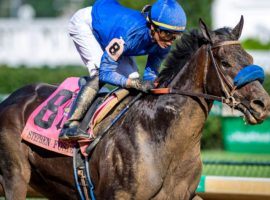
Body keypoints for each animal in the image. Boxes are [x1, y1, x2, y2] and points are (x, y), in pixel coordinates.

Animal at [0, 17, 270, 200]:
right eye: (224, 63)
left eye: (250, 59)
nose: (262, 104)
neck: (159, 132)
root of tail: (9, 100)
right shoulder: (117, 195)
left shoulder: (184, 194)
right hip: (16, 177)